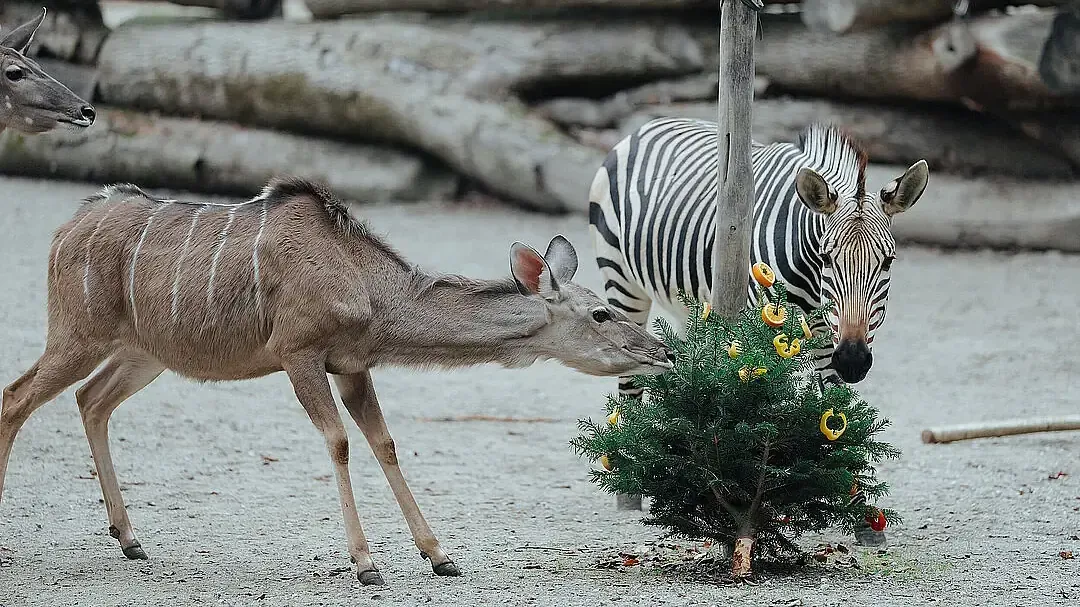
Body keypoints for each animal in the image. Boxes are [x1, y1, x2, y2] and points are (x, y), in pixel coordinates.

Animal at [588, 117, 929, 544]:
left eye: (888, 261)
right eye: (827, 257)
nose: (854, 360)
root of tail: (648, 125)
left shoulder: (828, 336)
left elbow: (837, 412)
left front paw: (859, 510)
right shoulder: (764, 319)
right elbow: (758, 394)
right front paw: (746, 487)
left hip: (687, 300)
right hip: (621, 279)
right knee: (630, 377)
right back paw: (632, 482)